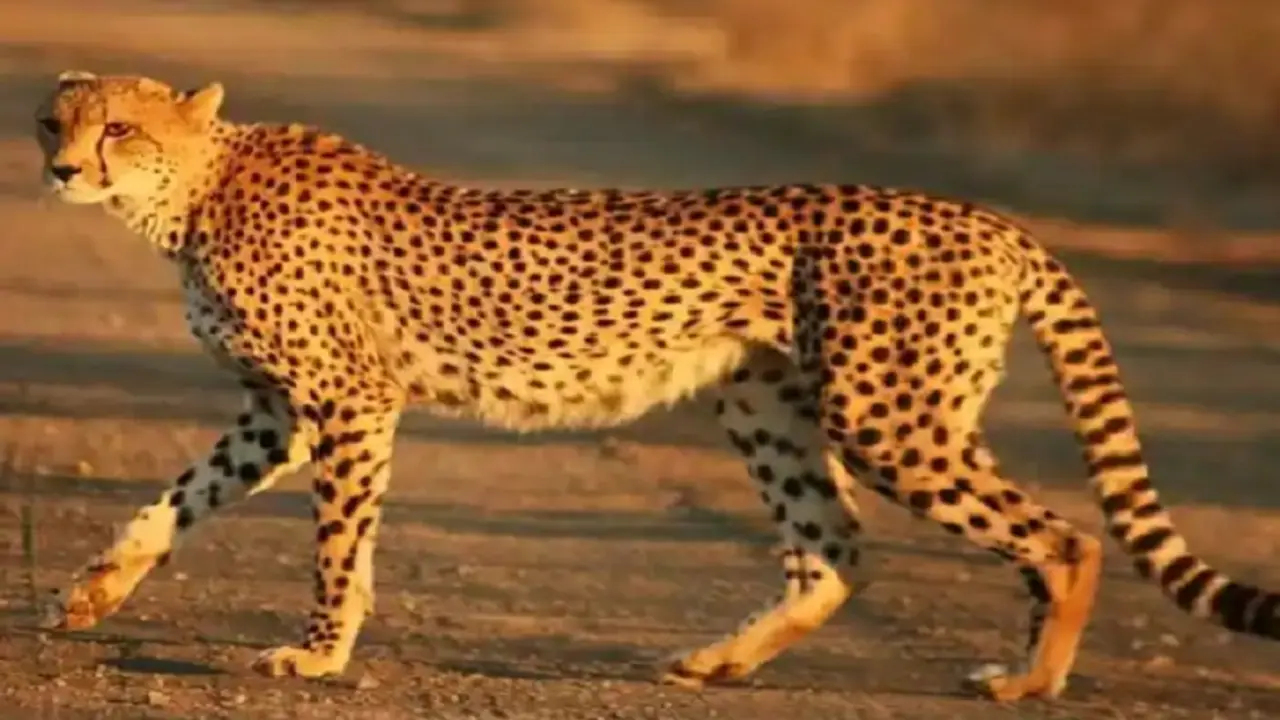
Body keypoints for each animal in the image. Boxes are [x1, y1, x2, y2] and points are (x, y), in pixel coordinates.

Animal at [30, 71, 1280, 702]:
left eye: (121, 128)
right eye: (55, 119)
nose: (59, 167)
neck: (194, 189)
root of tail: (986, 218)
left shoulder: (346, 402)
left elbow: (338, 545)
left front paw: (317, 653)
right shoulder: (276, 411)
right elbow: (176, 497)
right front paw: (92, 594)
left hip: (886, 413)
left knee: (1063, 538)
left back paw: (1029, 682)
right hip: (767, 404)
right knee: (832, 550)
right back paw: (718, 661)